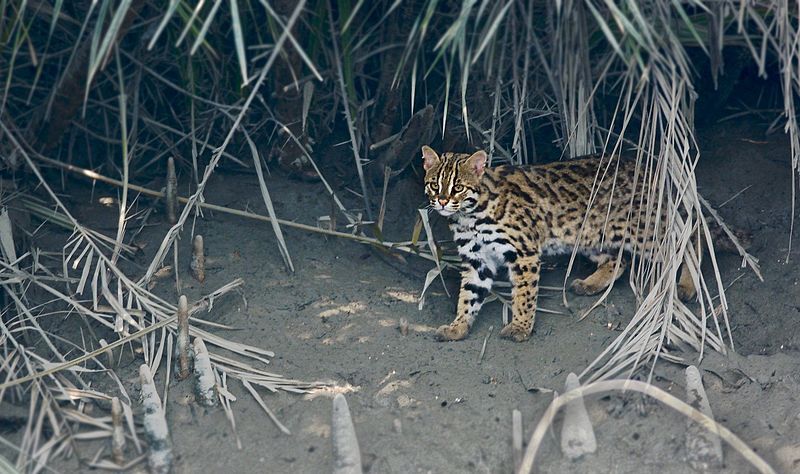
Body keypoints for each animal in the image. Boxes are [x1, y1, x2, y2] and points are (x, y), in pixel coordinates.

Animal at [418, 146, 708, 342]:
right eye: (434, 185)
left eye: (457, 188)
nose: (441, 201)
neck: (469, 216)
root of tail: (648, 167)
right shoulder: (476, 259)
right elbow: (468, 295)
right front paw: (458, 326)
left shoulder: (524, 252)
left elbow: (524, 295)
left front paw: (521, 326)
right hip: (592, 234)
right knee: (618, 259)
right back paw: (591, 283)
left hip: (644, 231)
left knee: (690, 239)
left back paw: (687, 284)